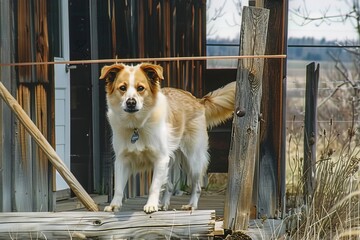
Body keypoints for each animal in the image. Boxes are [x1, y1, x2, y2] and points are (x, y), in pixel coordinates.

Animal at [100, 62, 236, 213]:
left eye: (140, 88)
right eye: (122, 88)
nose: (131, 102)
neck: (136, 125)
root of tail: (197, 100)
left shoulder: (160, 158)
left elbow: (154, 186)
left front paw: (151, 205)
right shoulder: (122, 160)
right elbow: (118, 187)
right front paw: (114, 205)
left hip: (192, 159)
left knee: (197, 186)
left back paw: (191, 205)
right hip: (171, 160)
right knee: (170, 185)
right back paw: (163, 205)